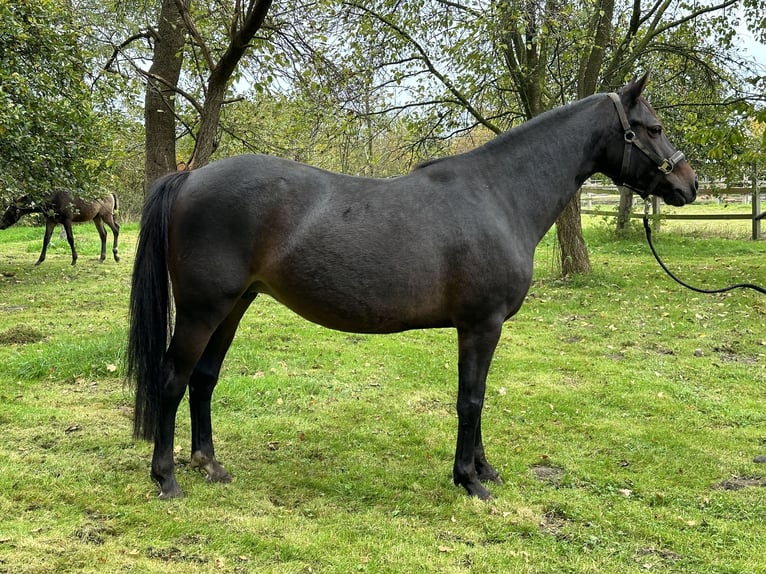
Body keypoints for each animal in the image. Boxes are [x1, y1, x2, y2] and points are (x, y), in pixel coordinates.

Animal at [127, 74, 704, 502]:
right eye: (652, 128)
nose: (690, 185)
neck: (498, 195)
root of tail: (190, 177)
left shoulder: (483, 329)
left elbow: (479, 398)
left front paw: (483, 470)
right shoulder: (481, 325)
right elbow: (470, 399)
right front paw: (469, 481)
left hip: (234, 305)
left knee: (204, 379)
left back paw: (209, 464)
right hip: (203, 309)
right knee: (173, 380)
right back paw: (167, 478)